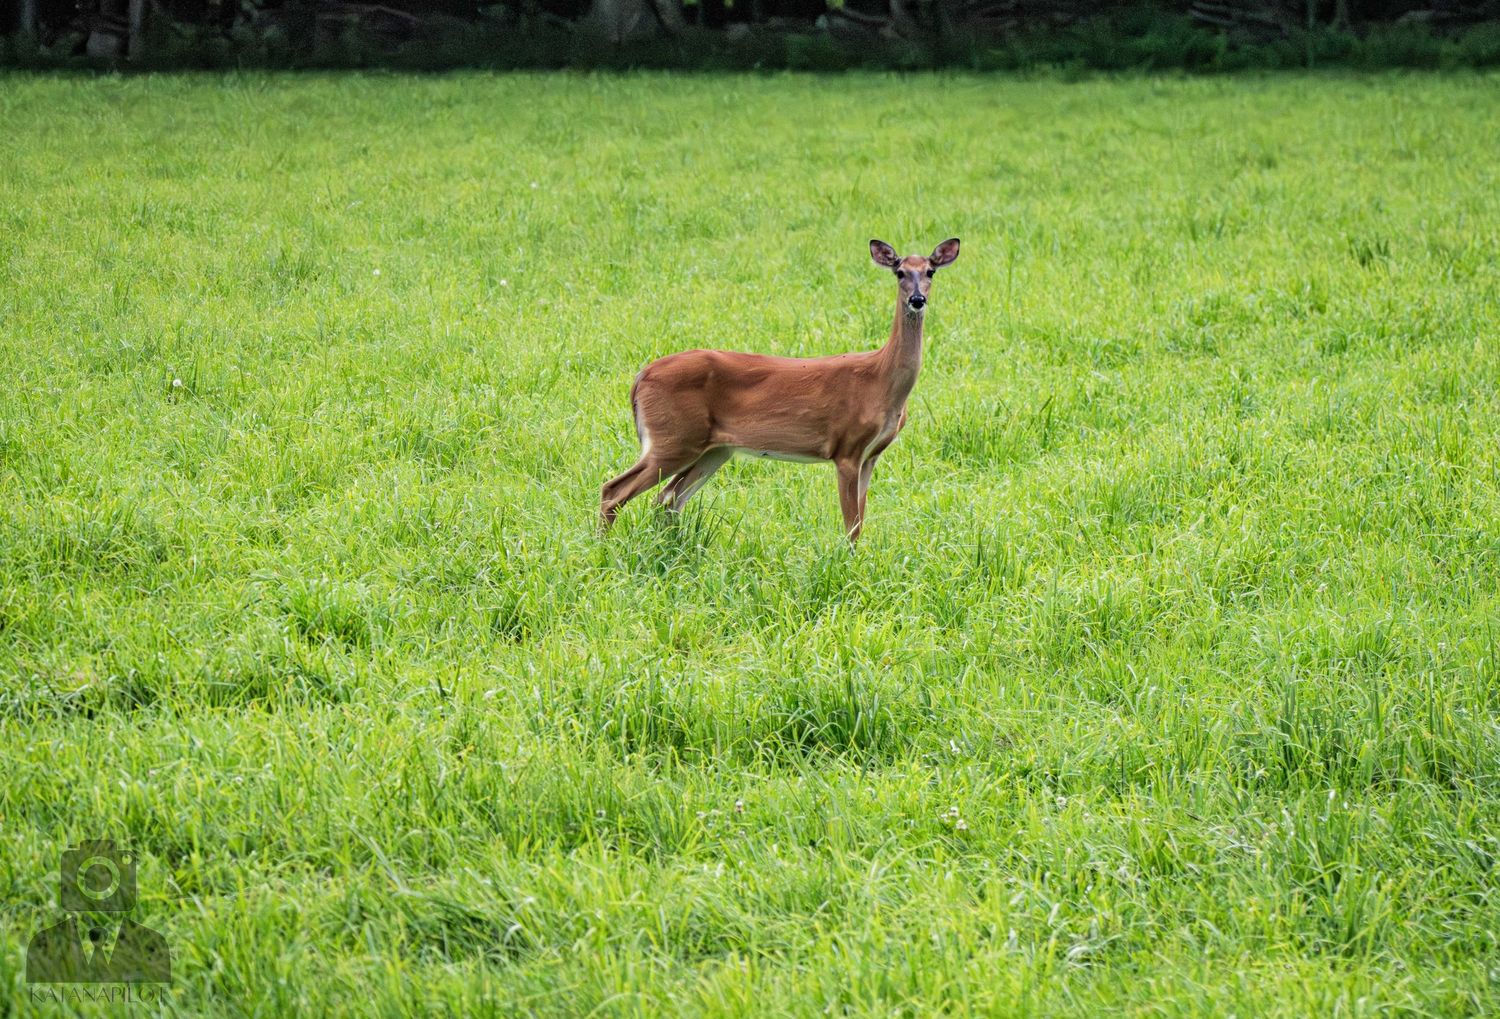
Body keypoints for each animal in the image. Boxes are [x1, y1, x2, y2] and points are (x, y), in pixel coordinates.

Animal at [599, 237, 960, 544]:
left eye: (930, 271)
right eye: (900, 271)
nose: (917, 299)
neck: (881, 381)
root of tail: (640, 376)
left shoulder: (871, 455)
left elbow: (860, 521)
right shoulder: (846, 449)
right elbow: (851, 526)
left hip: (713, 449)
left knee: (667, 499)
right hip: (673, 438)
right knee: (614, 491)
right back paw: (606, 550)